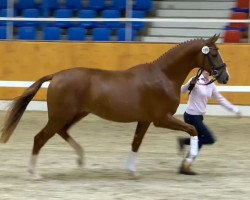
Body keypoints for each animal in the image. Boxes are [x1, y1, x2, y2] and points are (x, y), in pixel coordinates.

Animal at [0, 34, 229, 178]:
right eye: (213, 54)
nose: (225, 76)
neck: (163, 76)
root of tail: (56, 75)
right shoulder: (161, 119)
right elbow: (192, 130)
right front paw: (188, 162)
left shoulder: (145, 120)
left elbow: (136, 143)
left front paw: (132, 171)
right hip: (60, 116)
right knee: (40, 138)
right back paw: (35, 173)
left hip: (76, 114)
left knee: (62, 132)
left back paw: (81, 159)